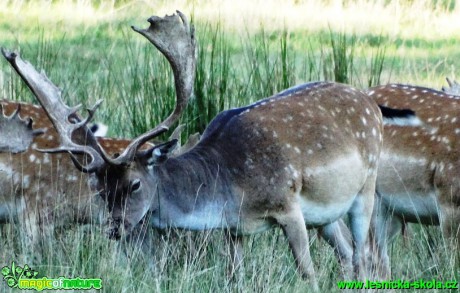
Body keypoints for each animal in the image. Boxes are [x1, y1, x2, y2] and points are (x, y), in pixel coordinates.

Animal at [0, 11, 388, 288]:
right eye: (99, 188)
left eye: (135, 184)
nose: (114, 229)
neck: (229, 184)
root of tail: (370, 103)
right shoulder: (233, 229)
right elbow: (234, 278)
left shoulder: (287, 204)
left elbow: (308, 274)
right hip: (325, 215)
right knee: (346, 251)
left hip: (367, 185)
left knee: (364, 254)